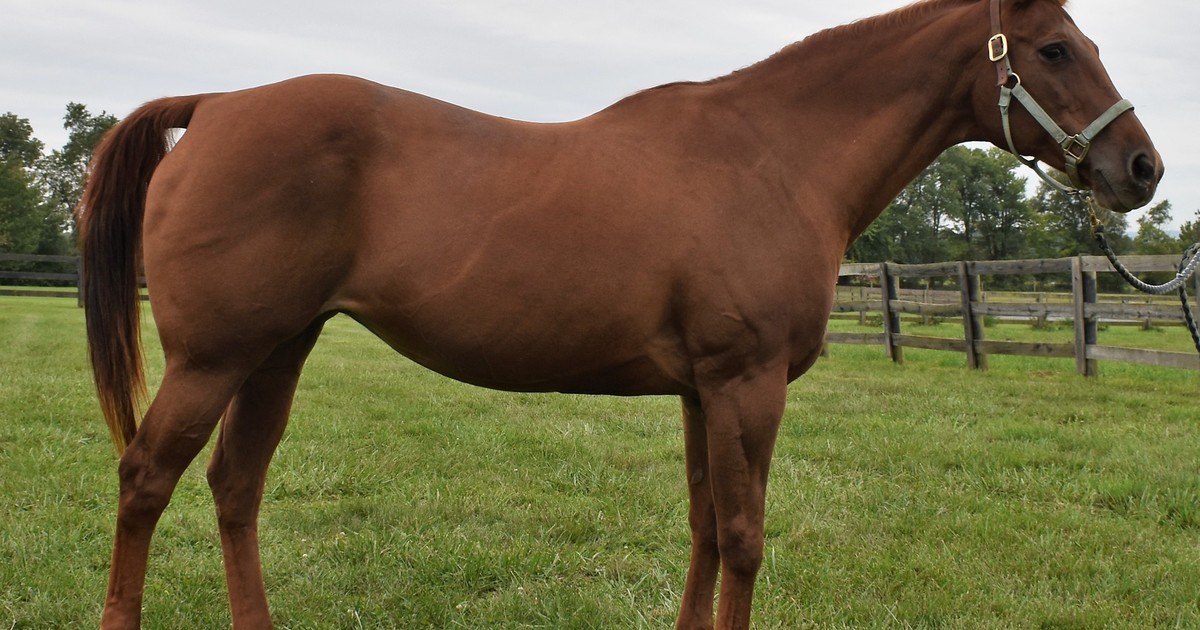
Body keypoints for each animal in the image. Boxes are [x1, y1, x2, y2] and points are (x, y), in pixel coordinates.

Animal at [77, 0, 1162, 627]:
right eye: (1055, 48)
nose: (1142, 167)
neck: (775, 155)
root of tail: (218, 103)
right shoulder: (746, 386)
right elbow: (745, 536)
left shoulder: (701, 393)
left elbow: (705, 529)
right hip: (216, 358)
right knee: (145, 480)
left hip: (277, 351)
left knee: (234, 487)